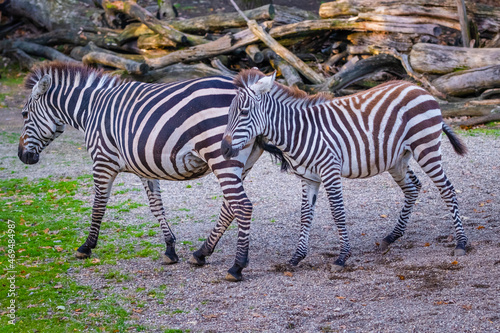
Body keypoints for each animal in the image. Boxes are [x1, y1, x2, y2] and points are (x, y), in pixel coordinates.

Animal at [18, 62, 278, 280]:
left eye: (24, 114)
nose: (22, 156)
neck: (91, 110)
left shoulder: (102, 161)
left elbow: (98, 205)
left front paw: (86, 246)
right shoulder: (144, 166)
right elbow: (156, 206)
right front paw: (170, 249)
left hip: (221, 157)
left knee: (242, 206)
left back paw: (237, 266)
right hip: (242, 163)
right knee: (229, 207)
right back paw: (201, 253)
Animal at [223, 68, 468, 270]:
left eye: (244, 112)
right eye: (230, 113)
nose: (224, 149)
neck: (299, 131)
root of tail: (418, 87)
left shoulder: (330, 171)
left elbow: (338, 212)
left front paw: (342, 257)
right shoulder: (308, 178)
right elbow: (305, 215)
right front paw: (297, 257)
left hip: (426, 147)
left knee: (447, 189)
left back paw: (462, 243)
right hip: (397, 158)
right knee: (413, 187)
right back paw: (392, 236)